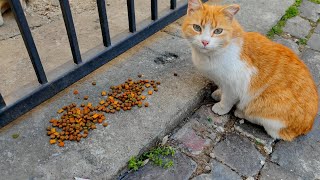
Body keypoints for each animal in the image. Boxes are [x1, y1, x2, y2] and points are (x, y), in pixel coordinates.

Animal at [181, 0, 318, 141]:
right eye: (197, 27)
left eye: (218, 31)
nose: (205, 42)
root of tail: (307, 126)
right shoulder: (222, 81)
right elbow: (222, 89)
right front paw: (218, 93)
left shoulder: (236, 84)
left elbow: (228, 99)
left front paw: (222, 107)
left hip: (266, 109)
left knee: (267, 126)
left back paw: (241, 112)